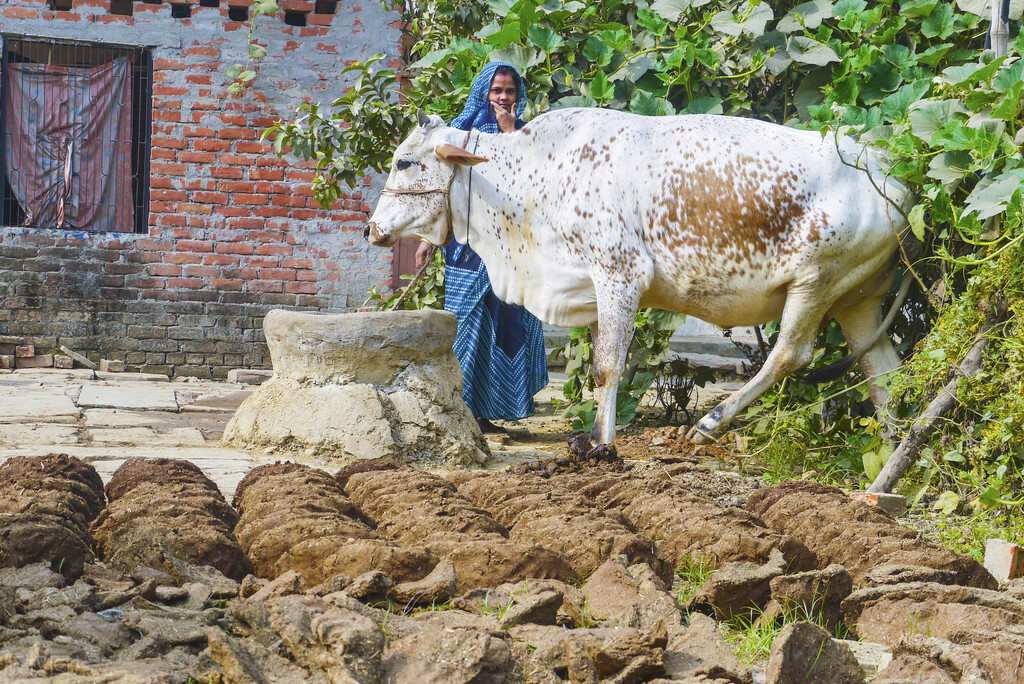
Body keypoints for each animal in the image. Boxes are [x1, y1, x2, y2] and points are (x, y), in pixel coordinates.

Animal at [364, 109, 909, 446]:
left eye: (404, 161)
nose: (371, 229)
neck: (530, 181)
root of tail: (891, 175)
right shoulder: (592, 289)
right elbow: (604, 366)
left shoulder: (619, 276)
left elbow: (608, 367)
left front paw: (602, 446)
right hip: (857, 299)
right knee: (883, 371)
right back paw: (892, 455)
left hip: (815, 282)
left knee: (789, 356)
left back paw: (709, 424)